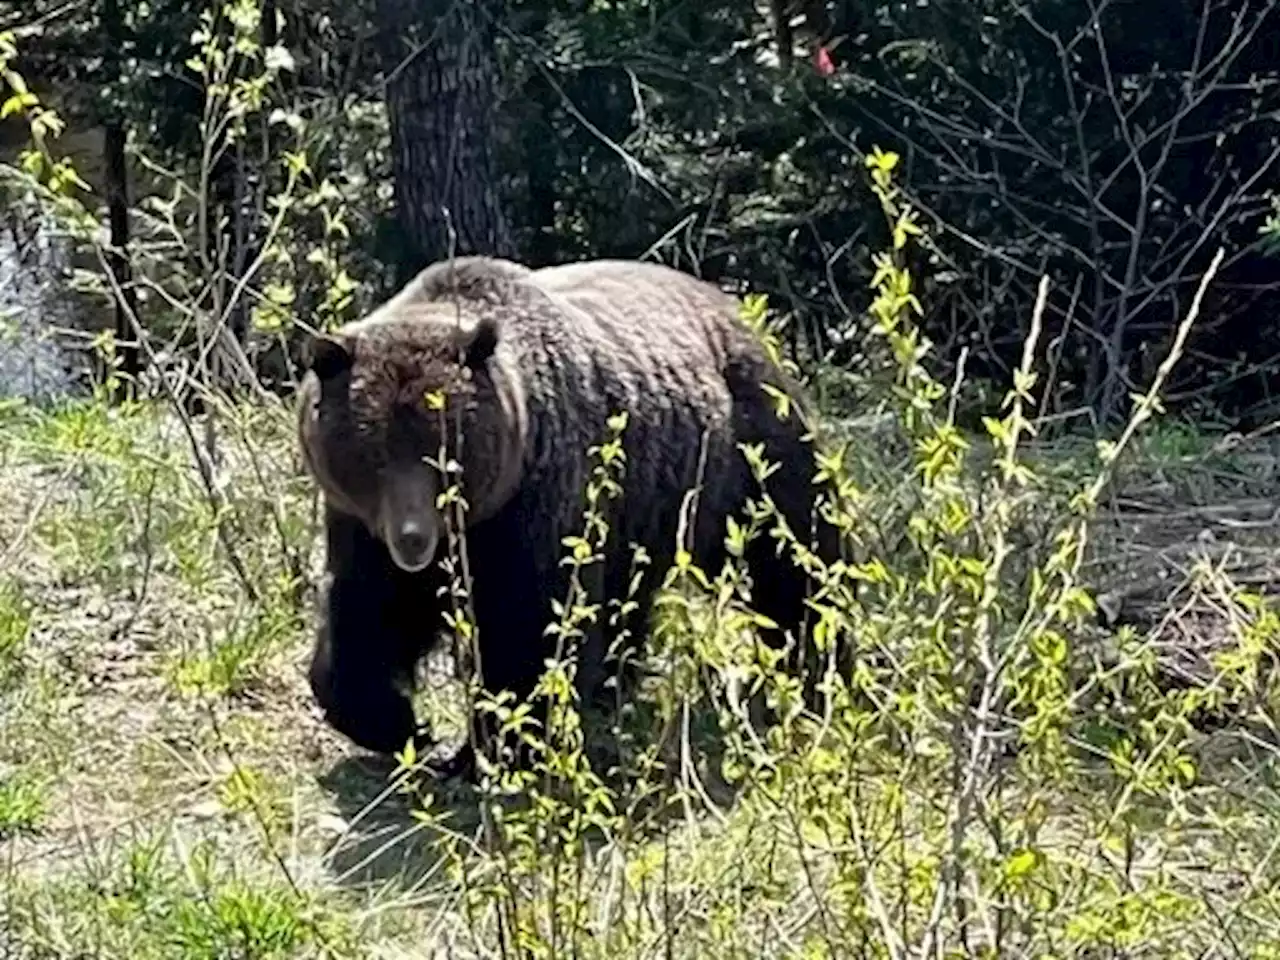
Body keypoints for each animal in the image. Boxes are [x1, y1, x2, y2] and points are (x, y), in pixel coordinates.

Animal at [300, 253, 839, 773]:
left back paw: (819, 671)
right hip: (644, 509)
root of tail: (730, 306)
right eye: (373, 454)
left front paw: (498, 745)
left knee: (798, 561)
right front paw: (400, 725)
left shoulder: (536, 502)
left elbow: (531, 627)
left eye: (446, 452)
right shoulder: (363, 526)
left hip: (747, 453)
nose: (413, 539)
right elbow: (367, 614)